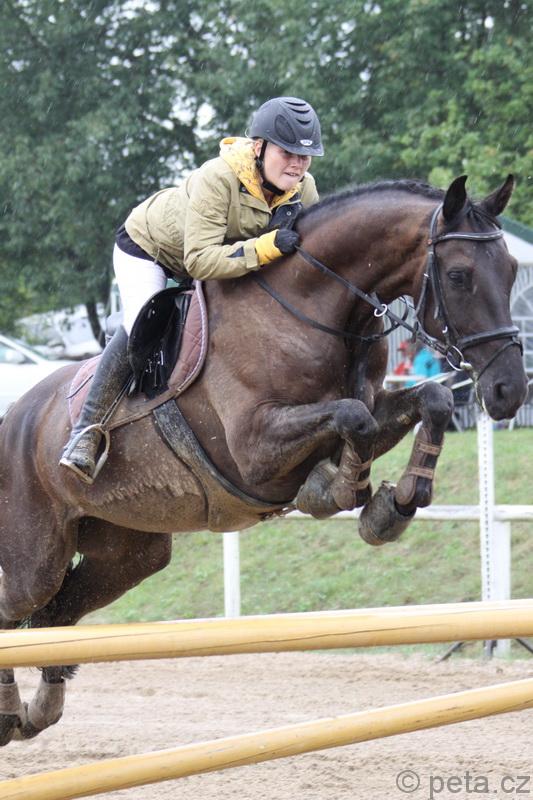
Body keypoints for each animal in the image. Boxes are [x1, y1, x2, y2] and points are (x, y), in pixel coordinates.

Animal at [0, 174, 527, 745]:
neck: (314, 309)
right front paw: (339, 491)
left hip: (129, 552)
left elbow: (427, 400)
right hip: (36, 558)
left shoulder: (372, 403)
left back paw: (39, 709)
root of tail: (14, 417)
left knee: (56, 616)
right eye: (458, 275)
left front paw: (397, 502)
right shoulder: (253, 450)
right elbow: (353, 420)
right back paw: (10, 711)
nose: (508, 392)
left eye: (512, 271)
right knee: (19, 607)